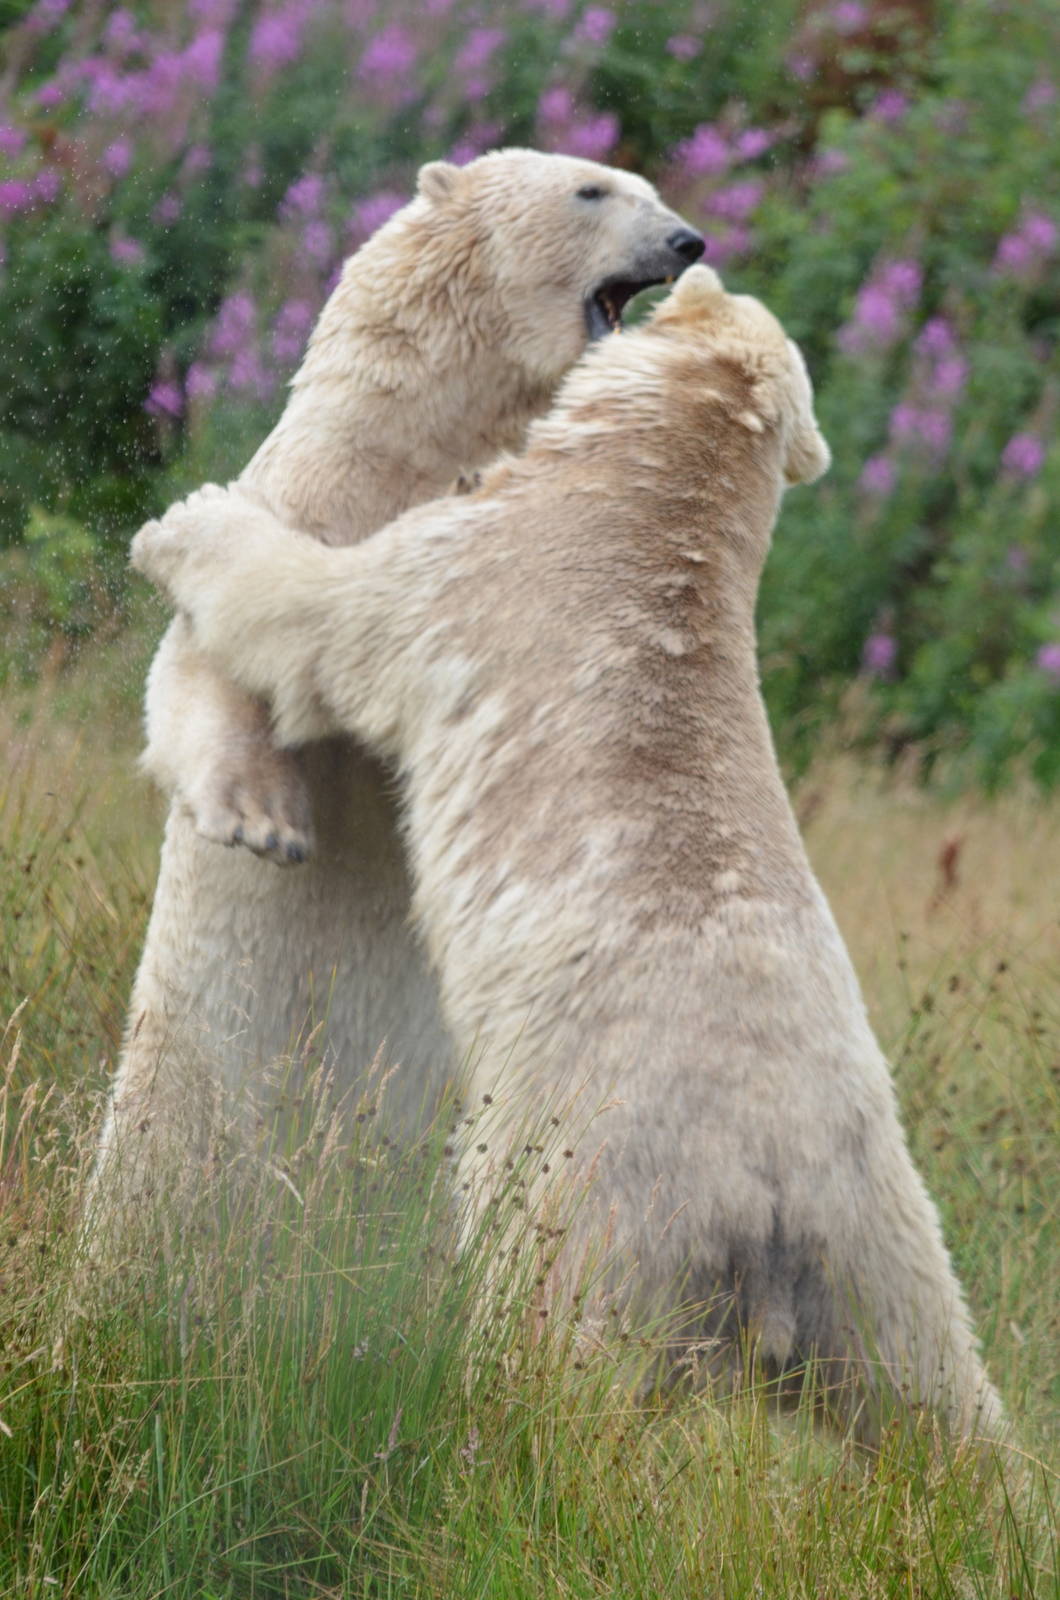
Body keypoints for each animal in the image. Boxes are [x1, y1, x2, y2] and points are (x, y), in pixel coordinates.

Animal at [86, 149, 705, 1249]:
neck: (424, 443)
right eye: (592, 189)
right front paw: (263, 822)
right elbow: (210, 664)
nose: (687, 241)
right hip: (189, 1083)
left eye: (644, 185)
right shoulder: (320, 487)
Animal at [132, 265, 1004, 1443]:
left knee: (553, 1348)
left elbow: (319, 618)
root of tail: (770, 1185)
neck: (651, 501)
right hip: (884, 1250)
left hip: (591, 1205)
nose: (696, 259)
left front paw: (187, 522)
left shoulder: (463, 573)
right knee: (938, 1399)